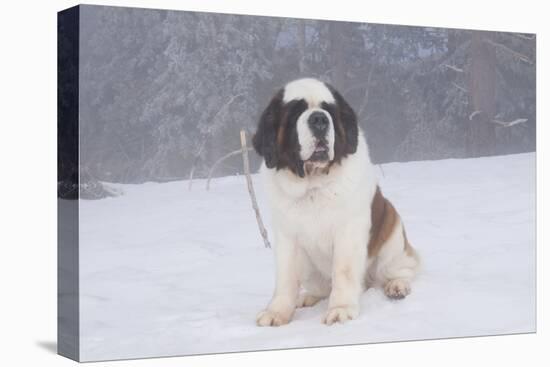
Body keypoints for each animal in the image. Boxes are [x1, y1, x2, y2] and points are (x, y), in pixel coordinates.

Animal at [254, 78, 422, 328]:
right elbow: (285, 278)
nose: (319, 119)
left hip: (391, 233)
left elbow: (344, 271)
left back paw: (397, 285)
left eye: (329, 110)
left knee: (402, 268)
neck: (313, 185)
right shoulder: (287, 236)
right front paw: (277, 311)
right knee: (320, 287)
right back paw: (308, 297)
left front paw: (341, 309)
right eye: (295, 112)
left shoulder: (348, 232)